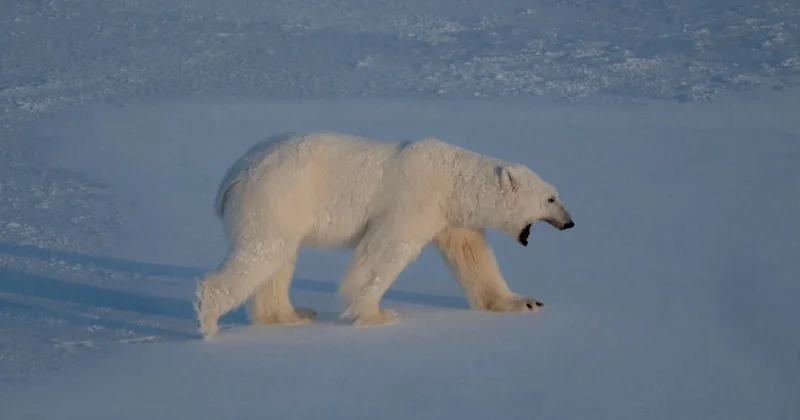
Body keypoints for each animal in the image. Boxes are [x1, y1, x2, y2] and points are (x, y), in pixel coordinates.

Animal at [194, 131, 574, 339]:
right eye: (551, 198)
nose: (570, 223)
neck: (453, 179)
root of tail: (233, 174)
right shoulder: (415, 198)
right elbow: (385, 249)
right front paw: (377, 314)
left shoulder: (451, 216)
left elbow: (472, 255)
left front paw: (525, 302)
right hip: (278, 195)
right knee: (263, 252)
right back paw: (209, 320)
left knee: (279, 259)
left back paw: (291, 315)